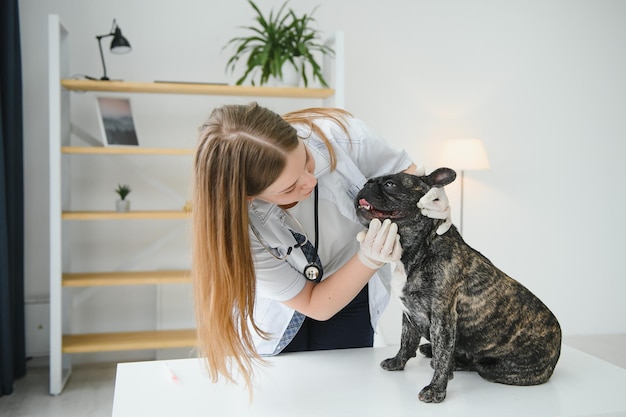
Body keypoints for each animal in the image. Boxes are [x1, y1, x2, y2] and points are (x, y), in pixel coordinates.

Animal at [356, 167, 560, 402]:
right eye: (369, 180)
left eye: (390, 184)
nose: (366, 184)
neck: (419, 249)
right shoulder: (409, 313)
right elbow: (406, 341)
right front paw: (397, 362)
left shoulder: (443, 318)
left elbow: (443, 355)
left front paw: (436, 388)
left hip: (493, 368)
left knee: (474, 364)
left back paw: (449, 363)